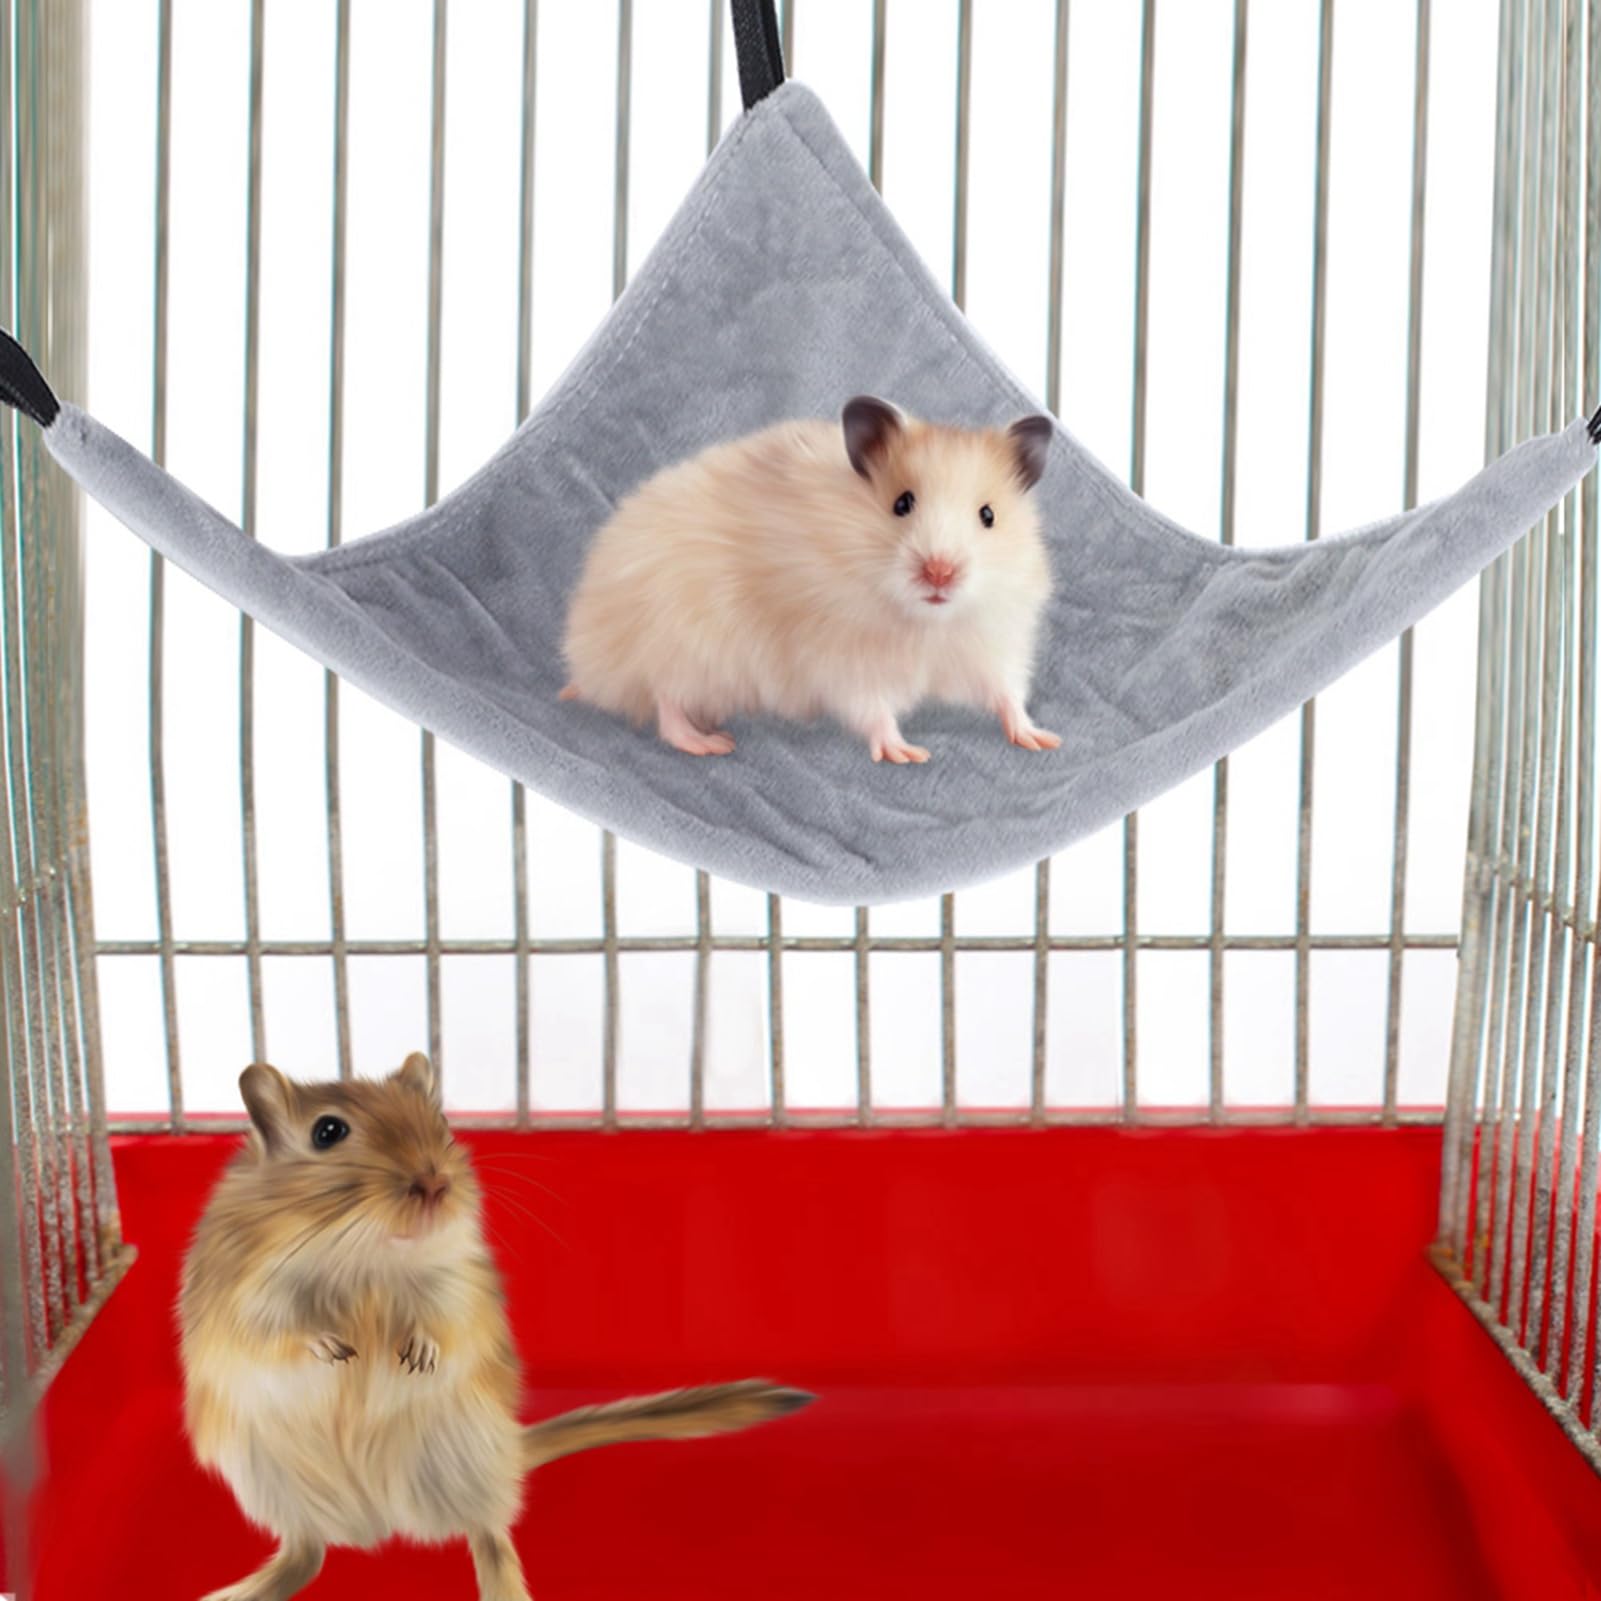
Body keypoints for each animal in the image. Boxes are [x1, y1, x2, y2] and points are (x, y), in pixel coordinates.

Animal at [179, 1052, 811, 1601]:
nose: (435, 1184)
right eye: (328, 1132)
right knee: (306, 1553)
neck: (365, 1257)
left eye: (441, 1123)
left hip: (462, 1459)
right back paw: (237, 1593)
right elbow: (278, 1333)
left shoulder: (457, 1284)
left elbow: (444, 1323)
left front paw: (416, 1356)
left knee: (489, 1535)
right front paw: (337, 1350)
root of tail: (378, 1520)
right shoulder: (245, 1297)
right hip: (275, 1484)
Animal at [561, 396, 1061, 764]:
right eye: (901, 503)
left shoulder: (989, 645)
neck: (924, 622)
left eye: (988, 515)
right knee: (665, 701)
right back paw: (710, 743)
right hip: (680, 643)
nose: (940, 571)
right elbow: (873, 709)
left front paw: (1041, 739)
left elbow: (1006, 693)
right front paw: (908, 754)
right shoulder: (843, 659)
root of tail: (587, 657)